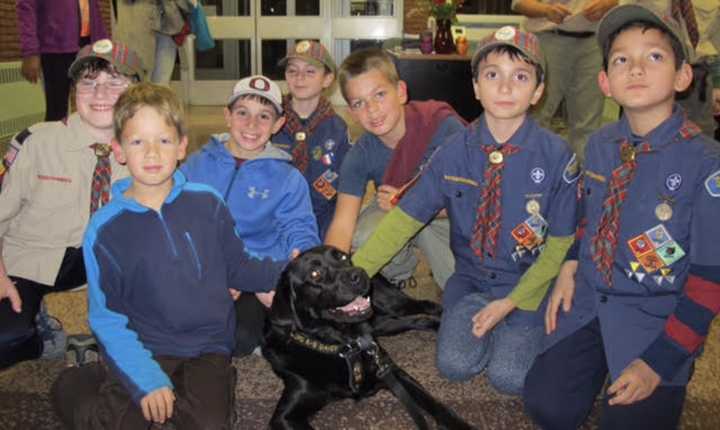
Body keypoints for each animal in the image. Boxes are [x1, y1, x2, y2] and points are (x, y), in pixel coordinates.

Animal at [262, 245, 476, 430]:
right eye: (315, 274)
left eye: (342, 257)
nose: (358, 274)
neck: (344, 346)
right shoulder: (284, 416)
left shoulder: (393, 371)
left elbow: (435, 404)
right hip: (382, 324)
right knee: (417, 320)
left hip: (391, 305)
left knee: (424, 305)